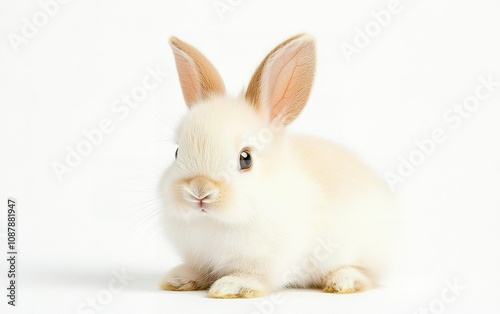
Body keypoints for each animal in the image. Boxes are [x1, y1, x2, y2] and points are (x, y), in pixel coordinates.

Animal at [158, 33, 400, 298]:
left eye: (245, 159)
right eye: (177, 152)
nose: (200, 191)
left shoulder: (271, 260)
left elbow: (256, 277)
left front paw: (232, 287)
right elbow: (199, 269)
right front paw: (179, 279)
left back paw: (343, 281)